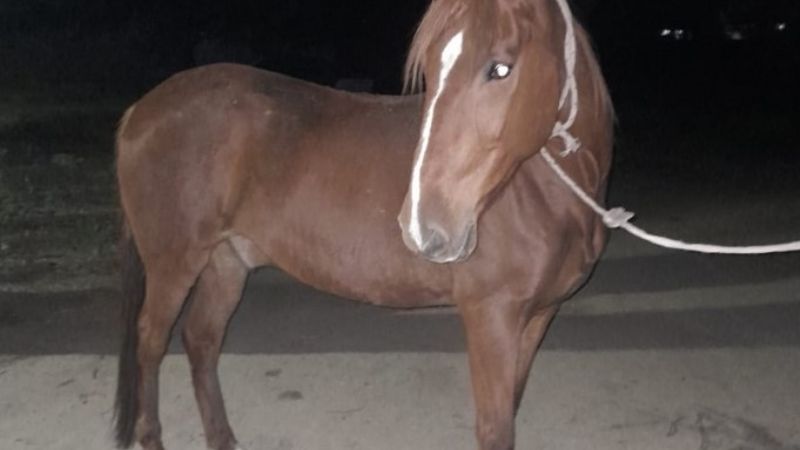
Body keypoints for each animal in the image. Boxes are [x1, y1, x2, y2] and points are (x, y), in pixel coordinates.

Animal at [113, 0, 613, 449]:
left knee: (201, 340)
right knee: (150, 341)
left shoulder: (538, 316)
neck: (539, 190)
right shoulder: (491, 316)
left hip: (226, 263)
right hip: (174, 264)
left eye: (501, 68)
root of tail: (141, 110)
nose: (422, 224)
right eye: (430, 69)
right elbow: (495, 430)